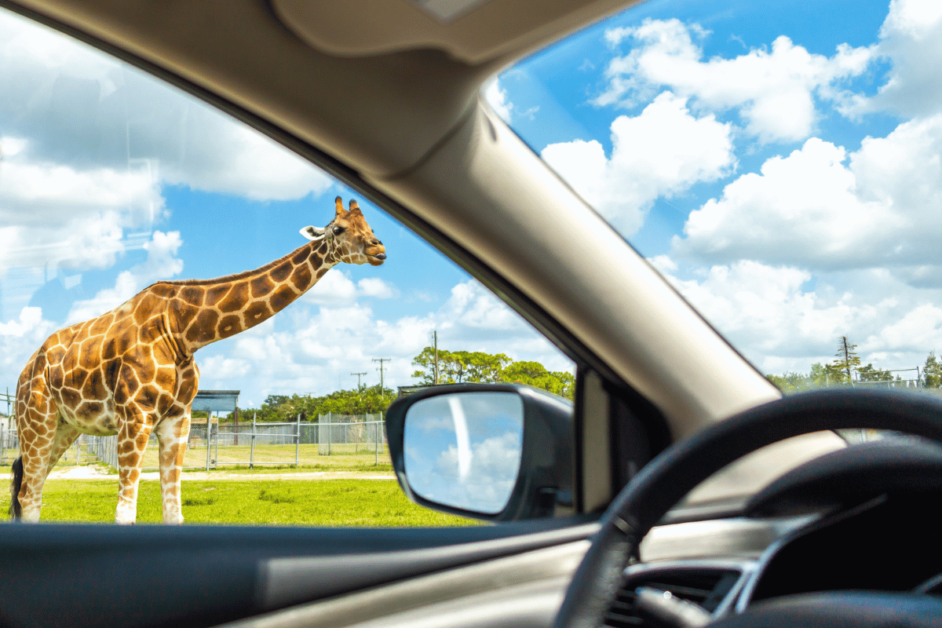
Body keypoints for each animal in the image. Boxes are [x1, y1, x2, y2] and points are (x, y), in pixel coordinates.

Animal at [9, 197, 386, 524]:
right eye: (338, 228)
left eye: (369, 224)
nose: (378, 249)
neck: (184, 331)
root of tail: (27, 369)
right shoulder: (135, 416)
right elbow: (125, 513)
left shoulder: (179, 419)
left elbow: (174, 512)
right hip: (37, 419)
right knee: (29, 493)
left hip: (65, 426)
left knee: (31, 487)